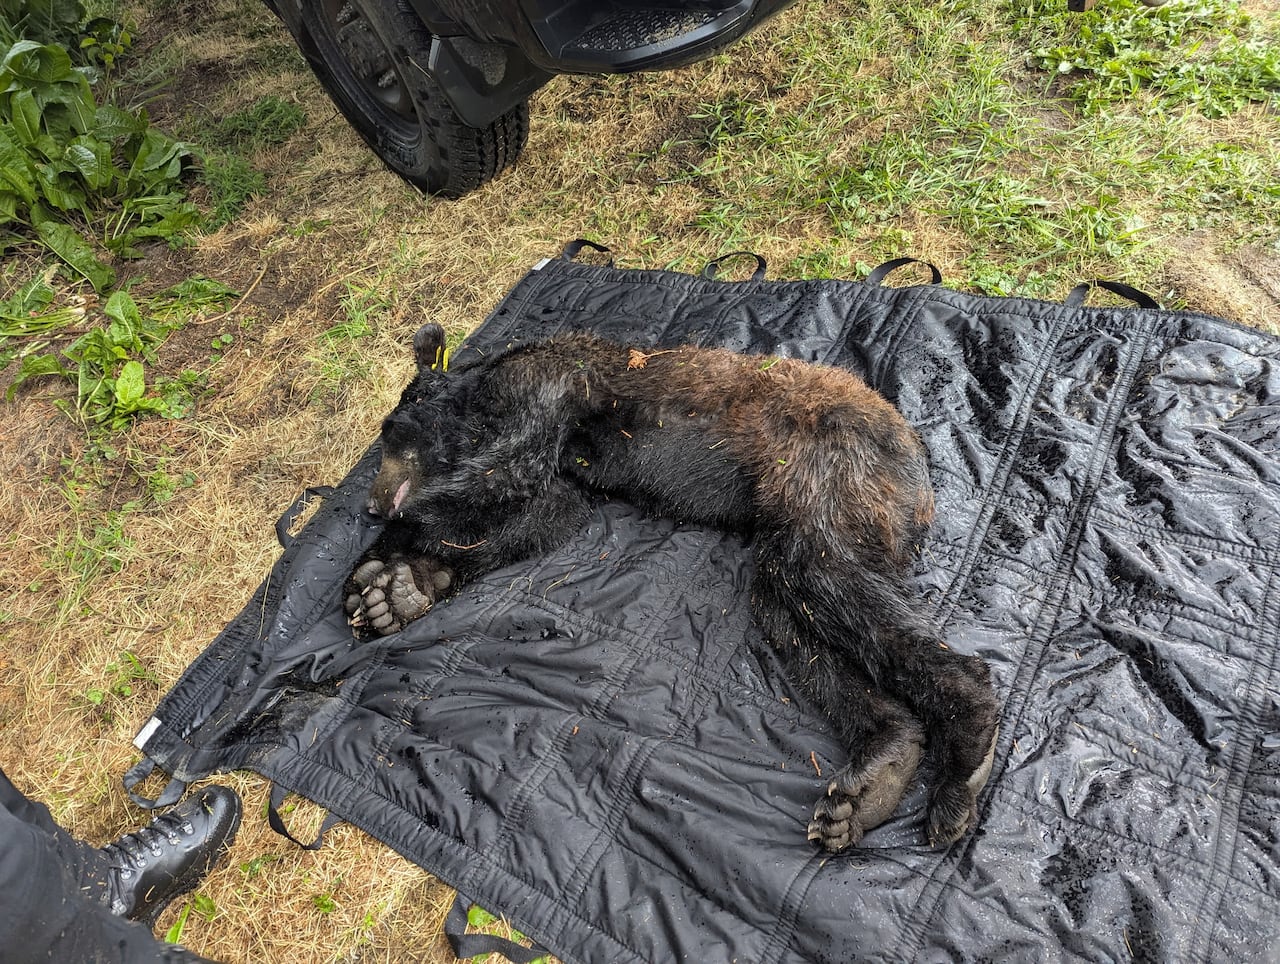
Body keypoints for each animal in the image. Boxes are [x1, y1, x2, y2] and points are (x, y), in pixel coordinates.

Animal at [344, 322, 1001, 851]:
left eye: (388, 431)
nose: (371, 506)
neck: (478, 395)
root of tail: (921, 479)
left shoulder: (542, 392)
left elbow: (495, 481)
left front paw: (373, 569)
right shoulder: (564, 478)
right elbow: (539, 517)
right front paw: (403, 590)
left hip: (830, 473)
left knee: (831, 585)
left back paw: (961, 759)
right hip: (809, 518)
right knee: (795, 617)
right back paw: (877, 775)